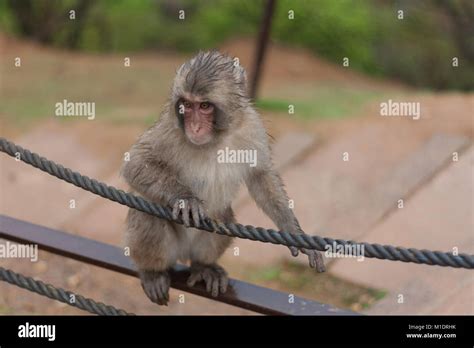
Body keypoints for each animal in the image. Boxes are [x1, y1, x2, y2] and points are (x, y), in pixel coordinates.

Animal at [121, 50, 326, 306]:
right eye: (186, 105)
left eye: (205, 106)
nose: (194, 127)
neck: (216, 138)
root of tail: (183, 254)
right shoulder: (170, 126)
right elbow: (136, 162)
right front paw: (185, 199)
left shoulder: (252, 126)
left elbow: (261, 175)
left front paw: (294, 233)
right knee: (147, 213)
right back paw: (152, 272)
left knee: (223, 218)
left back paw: (204, 266)